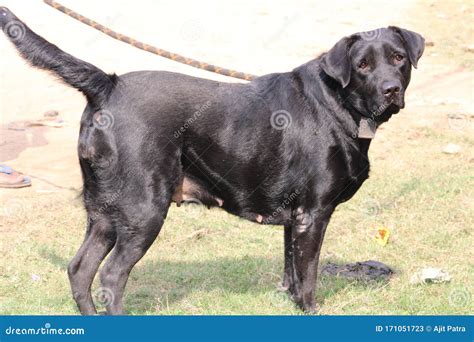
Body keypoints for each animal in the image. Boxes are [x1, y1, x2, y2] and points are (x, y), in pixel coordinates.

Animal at [0, 6, 422, 316]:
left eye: (398, 58)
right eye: (363, 65)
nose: (390, 89)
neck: (338, 103)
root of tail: (108, 83)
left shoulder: (295, 217)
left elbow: (291, 272)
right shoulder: (313, 214)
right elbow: (308, 278)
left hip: (105, 213)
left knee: (79, 269)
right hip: (143, 211)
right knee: (111, 277)